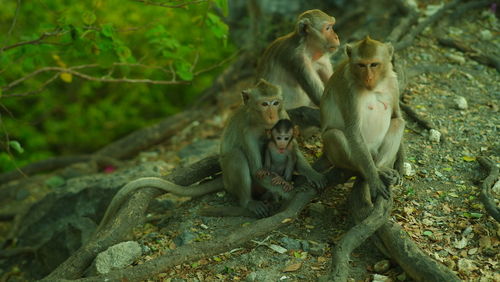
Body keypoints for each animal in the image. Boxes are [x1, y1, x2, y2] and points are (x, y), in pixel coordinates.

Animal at [221, 79, 326, 218]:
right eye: (264, 104)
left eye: (275, 103)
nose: (272, 116)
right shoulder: (247, 131)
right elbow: (258, 171)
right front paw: (293, 192)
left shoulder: (283, 115)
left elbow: (293, 152)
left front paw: (313, 174)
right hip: (230, 184)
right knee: (236, 155)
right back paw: (248, 201)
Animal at [320, 36, 406, 200]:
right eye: (361, 65)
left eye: (374, 64)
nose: (368, 77)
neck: (375, 87)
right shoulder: (349, 90)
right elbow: (353, 130)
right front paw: (374, 181)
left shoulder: (393, 83)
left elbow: (396, 115)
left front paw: (401, 160)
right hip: (355, 155)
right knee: (334, 135)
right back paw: (373, 171)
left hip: (375, 152)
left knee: (398, 123)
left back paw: (381, 167)